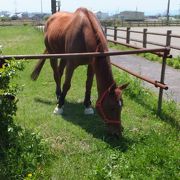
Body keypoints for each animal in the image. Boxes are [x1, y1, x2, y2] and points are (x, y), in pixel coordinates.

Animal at [31, 7, 129, 136]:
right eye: (112, 107)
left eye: (121, 106)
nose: (117, 132)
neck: (84, 34)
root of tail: (50, 19)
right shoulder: (71, 64)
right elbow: (67, 85)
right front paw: (59, 107)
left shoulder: (91, 65)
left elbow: (89, 84)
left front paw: (87, 106)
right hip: (53, 55)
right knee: (56, 75)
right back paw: (58, 96)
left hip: (63, 57)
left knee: (59, 73)